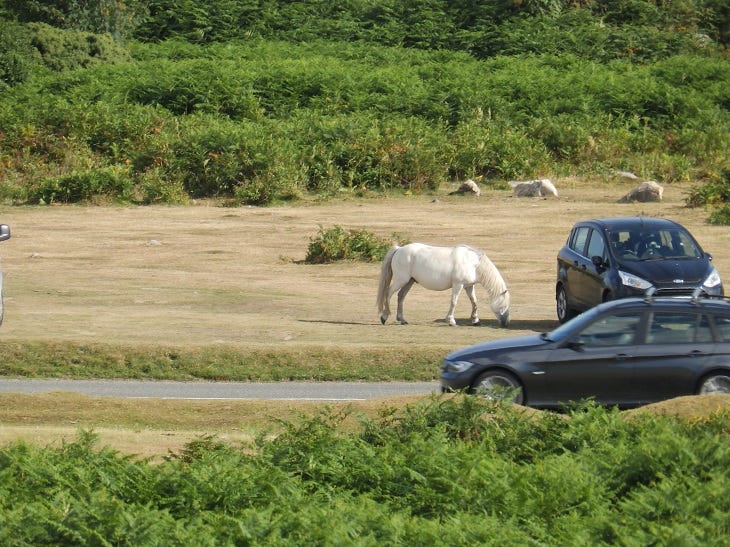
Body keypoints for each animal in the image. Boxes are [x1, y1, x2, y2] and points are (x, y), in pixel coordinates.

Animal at [376, 243, 510, 327]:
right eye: (504, 305)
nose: (505, 323)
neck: (473, 263)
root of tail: (399, 249)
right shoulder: (458, 285)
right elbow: (454, 302)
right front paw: (451, 321)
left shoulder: (469, 286)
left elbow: (474, 302)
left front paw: (475, 320)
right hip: (401, 280)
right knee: (388, 294)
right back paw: (384, 317)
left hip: (409, 281)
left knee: (401, 296)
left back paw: (402, 319)